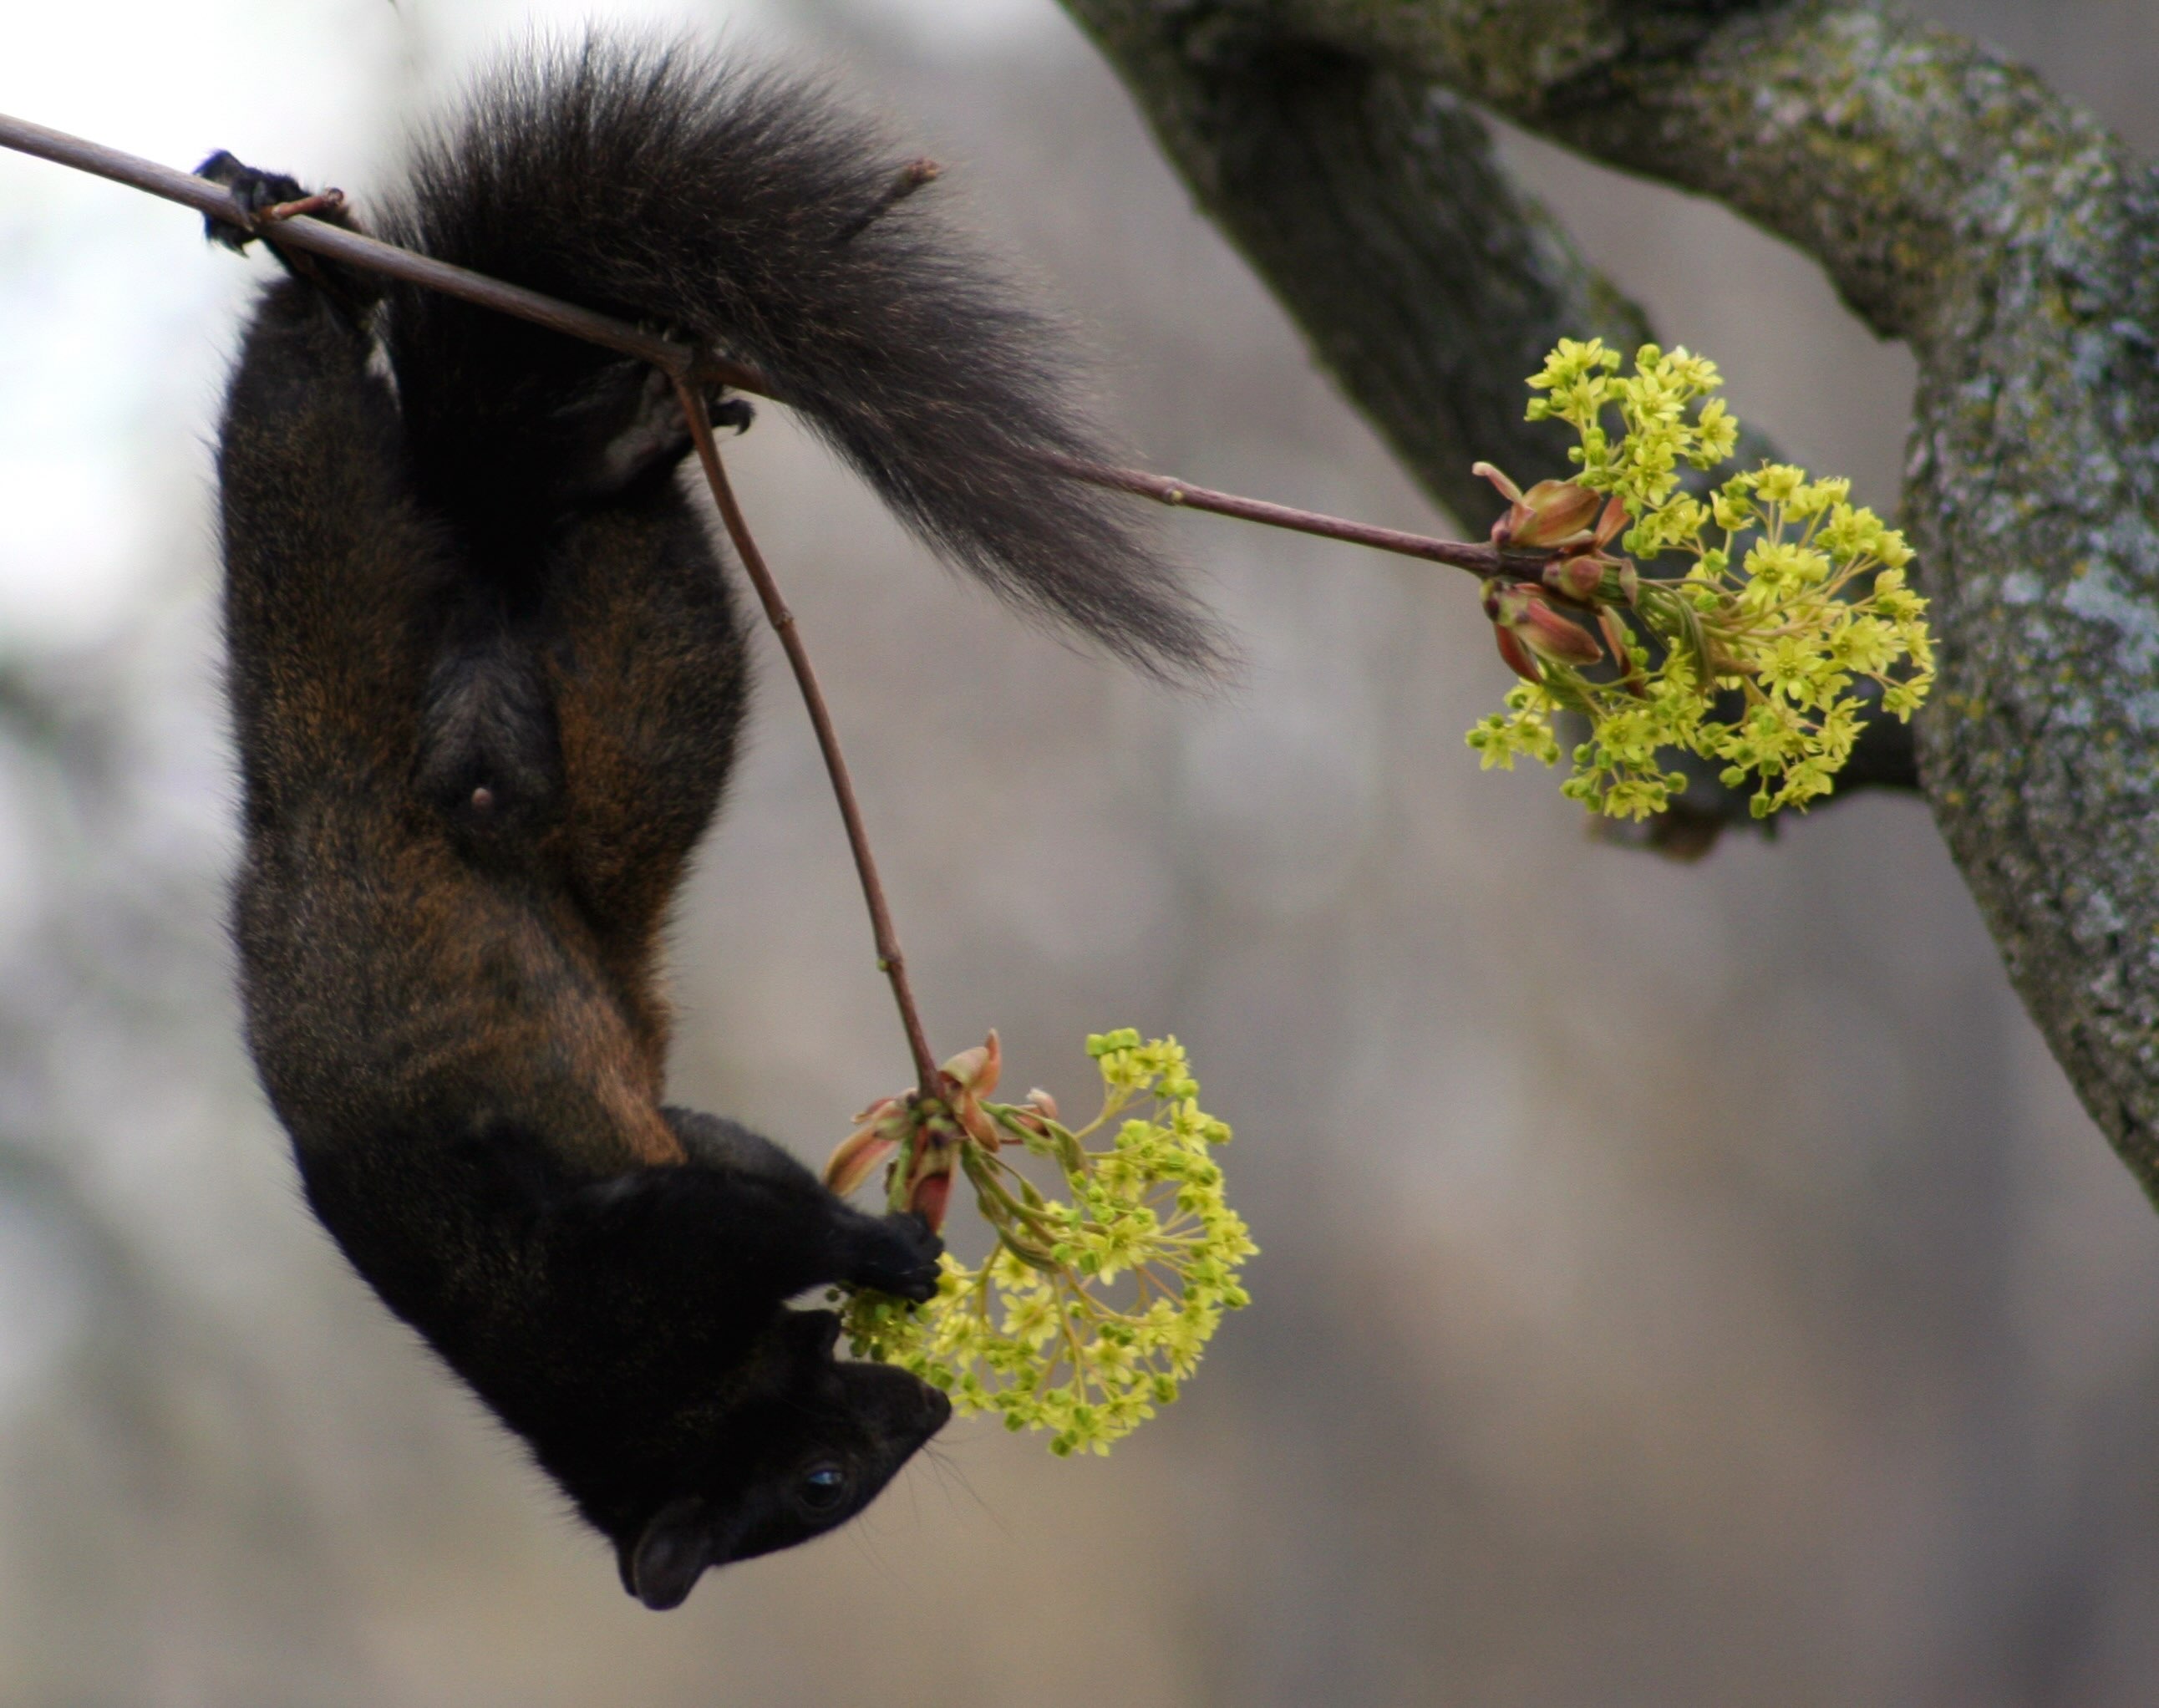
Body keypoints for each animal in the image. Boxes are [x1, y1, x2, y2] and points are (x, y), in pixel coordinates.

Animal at [200, 38, 1222, 1610]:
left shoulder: (650, 1239)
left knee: (303, 407)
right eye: (817, 1486)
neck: (630, 1393)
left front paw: (879, 1245)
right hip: (617, 698)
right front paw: (889, 1250)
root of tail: (308, 788)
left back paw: (295, 239)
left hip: (366, 581)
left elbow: (760, 1194)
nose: (925, 1411)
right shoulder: (648, 1244)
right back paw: (582, 430)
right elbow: (749, 1180)